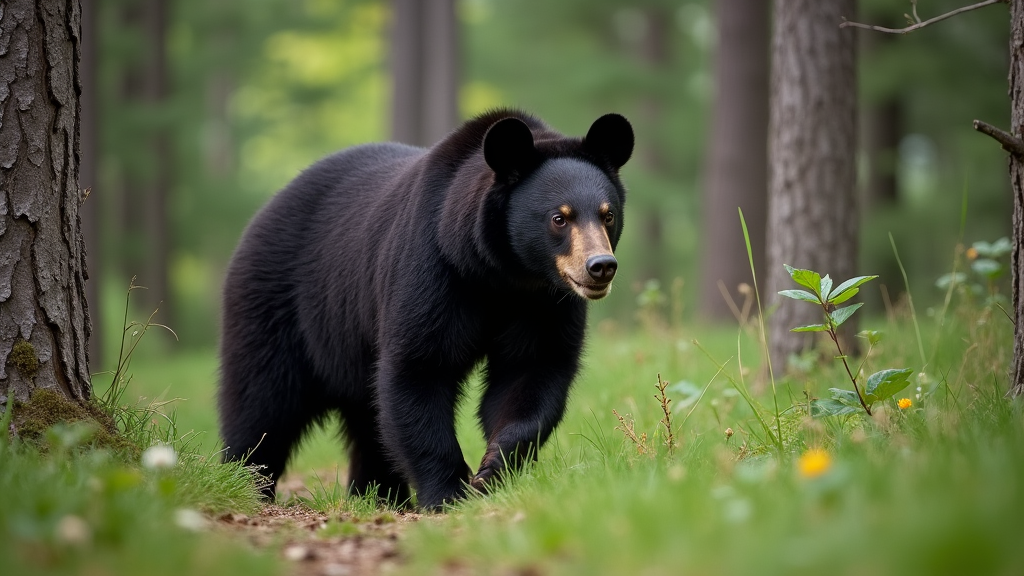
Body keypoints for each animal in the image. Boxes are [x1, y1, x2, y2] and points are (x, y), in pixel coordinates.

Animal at [219, 108, 630, 506]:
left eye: (607, 214)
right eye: (559, 218)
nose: (600, 267)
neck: (502, 275)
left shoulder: (545, 303)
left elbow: (532, 372)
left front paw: (492, 470)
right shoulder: (433, 269)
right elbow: (418, 368)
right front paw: (449, 492)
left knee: (367, 419)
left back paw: (379, 496)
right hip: (278, 305)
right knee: (262, 402)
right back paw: (248, 484)